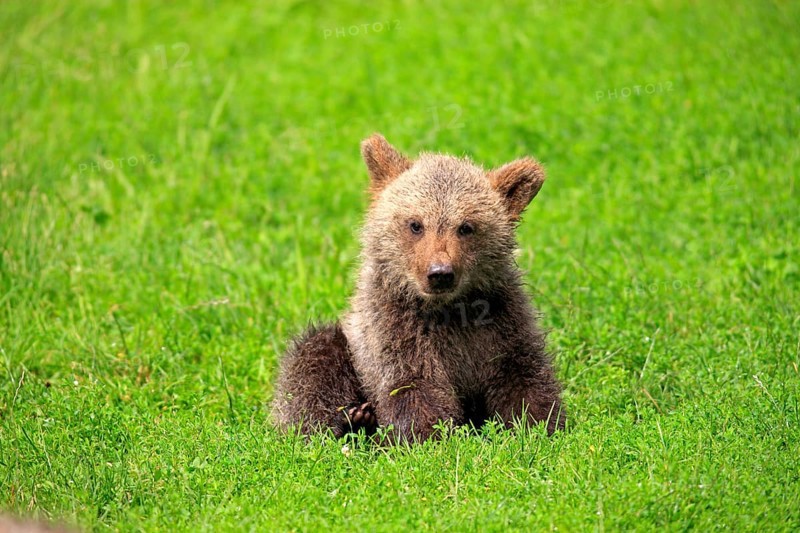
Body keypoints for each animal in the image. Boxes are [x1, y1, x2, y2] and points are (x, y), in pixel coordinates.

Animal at [270, 133, 564, 442]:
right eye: (415, 224)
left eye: (466, 226)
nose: (440, 273)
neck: (448, 311)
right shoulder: (395, 329)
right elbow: (414, 385)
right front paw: (429, 435)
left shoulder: (500, 322)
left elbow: (522, 375)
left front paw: (538, 425)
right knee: (313, 363)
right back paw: (351, 422)